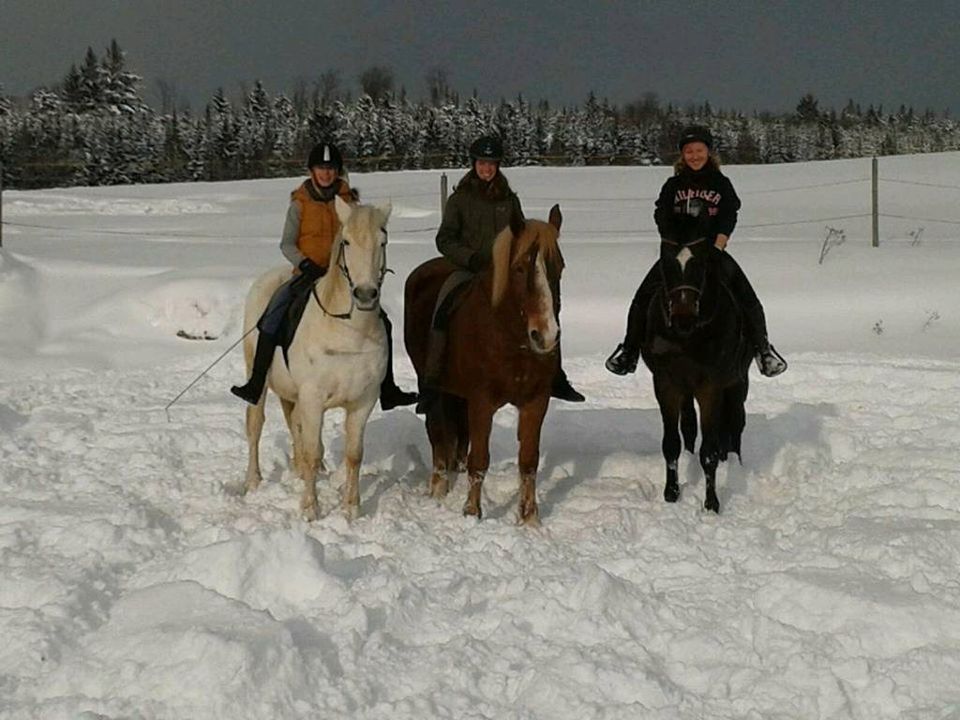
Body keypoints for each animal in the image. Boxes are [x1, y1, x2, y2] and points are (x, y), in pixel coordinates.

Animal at [239, 197, 390, 520]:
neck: (349, 331)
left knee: (293, 424)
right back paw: (253, 481)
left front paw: (351, 508)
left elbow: (354, 455)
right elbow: (310, 451)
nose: (365, 294)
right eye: (346, 241)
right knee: (255, 426)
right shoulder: (312, 399)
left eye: (382, 241)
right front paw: (310, 509)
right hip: (258, 380)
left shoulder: (362, 402)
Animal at [404, 205, 568, 524]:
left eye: (560, 267)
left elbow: (528, 461)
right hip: (434, 388)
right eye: (519, 269)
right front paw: (471, 513)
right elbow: (479, 459)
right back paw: (439, 487)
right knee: (437, 432)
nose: (545, 336)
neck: (511, 341)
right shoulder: (482, 401)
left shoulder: (536, 401)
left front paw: (530, 519)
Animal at [640, 229, 752, 512]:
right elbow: (671, 443)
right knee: (690, 425)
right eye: (666, 265)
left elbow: (709, 452)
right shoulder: (666, 384)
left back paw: (736, 464)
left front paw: (712, 503)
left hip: (738, 384)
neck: (688, 339)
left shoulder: (710, 388)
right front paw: (671, 492)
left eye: (700, 266)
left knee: (736, 424)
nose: (683, 319)